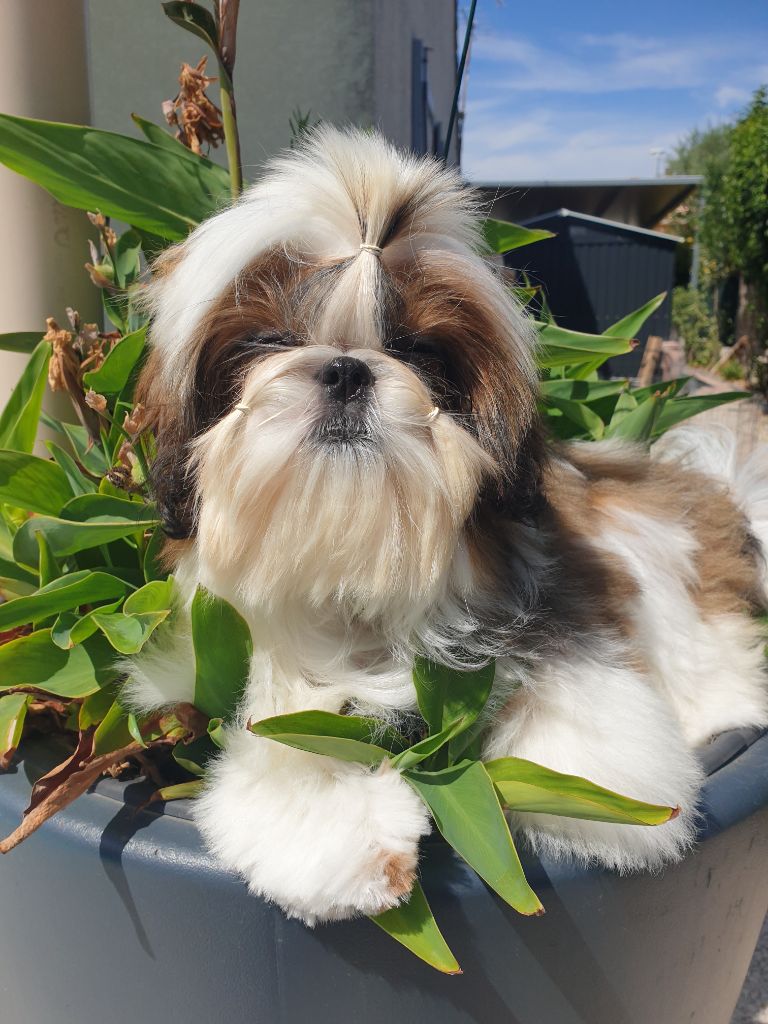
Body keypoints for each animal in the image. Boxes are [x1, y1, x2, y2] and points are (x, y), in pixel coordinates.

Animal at [126, 126, 768, 924]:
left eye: (418, 352)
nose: (346, 369)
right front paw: (333, 825)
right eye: (267, 342)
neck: (357, 563)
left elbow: (577, 689)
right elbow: (287, 719)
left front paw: (588, 791)